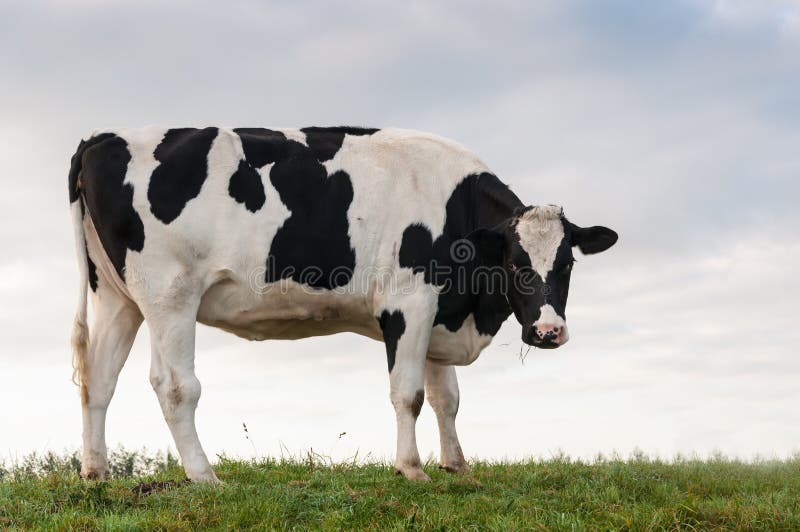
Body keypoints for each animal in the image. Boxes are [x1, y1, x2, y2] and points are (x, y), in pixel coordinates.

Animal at [69, 127, 620, 484]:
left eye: (567, 263)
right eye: (514, 262)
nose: (547, 332)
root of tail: (103, 138)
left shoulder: (439, 311)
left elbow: (447, 398)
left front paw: (457, 466)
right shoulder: (408, 303)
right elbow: (409, 394)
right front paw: (411, 469)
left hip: (118, 296)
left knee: (99, 378)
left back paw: (95, 471)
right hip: (170, 293)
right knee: (175, 385)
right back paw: (205, 476)